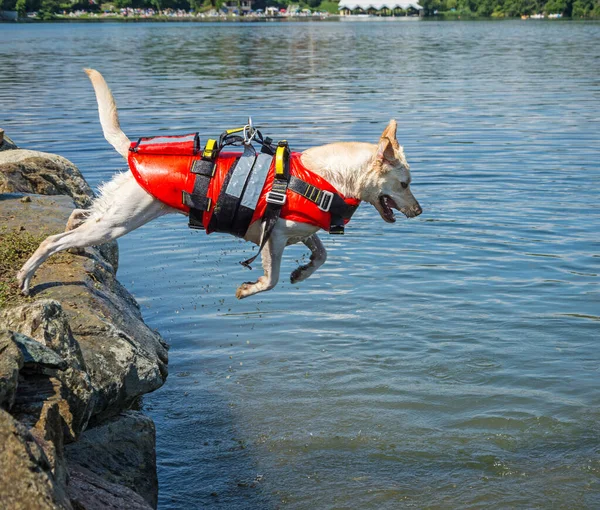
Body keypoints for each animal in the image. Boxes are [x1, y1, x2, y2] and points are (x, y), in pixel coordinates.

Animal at [17, 68, 422, 298]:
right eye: (405, 184)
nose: (419, 211)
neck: (326, 178)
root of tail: (131, 146)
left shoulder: (300, 231)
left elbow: (321, 255)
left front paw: (302, 272)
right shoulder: (273, 238)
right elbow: (271, 279)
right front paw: (251, 288)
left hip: (117, 215)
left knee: (77, 218)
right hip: (120, 221)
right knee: (53, 240)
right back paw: (25, 276)